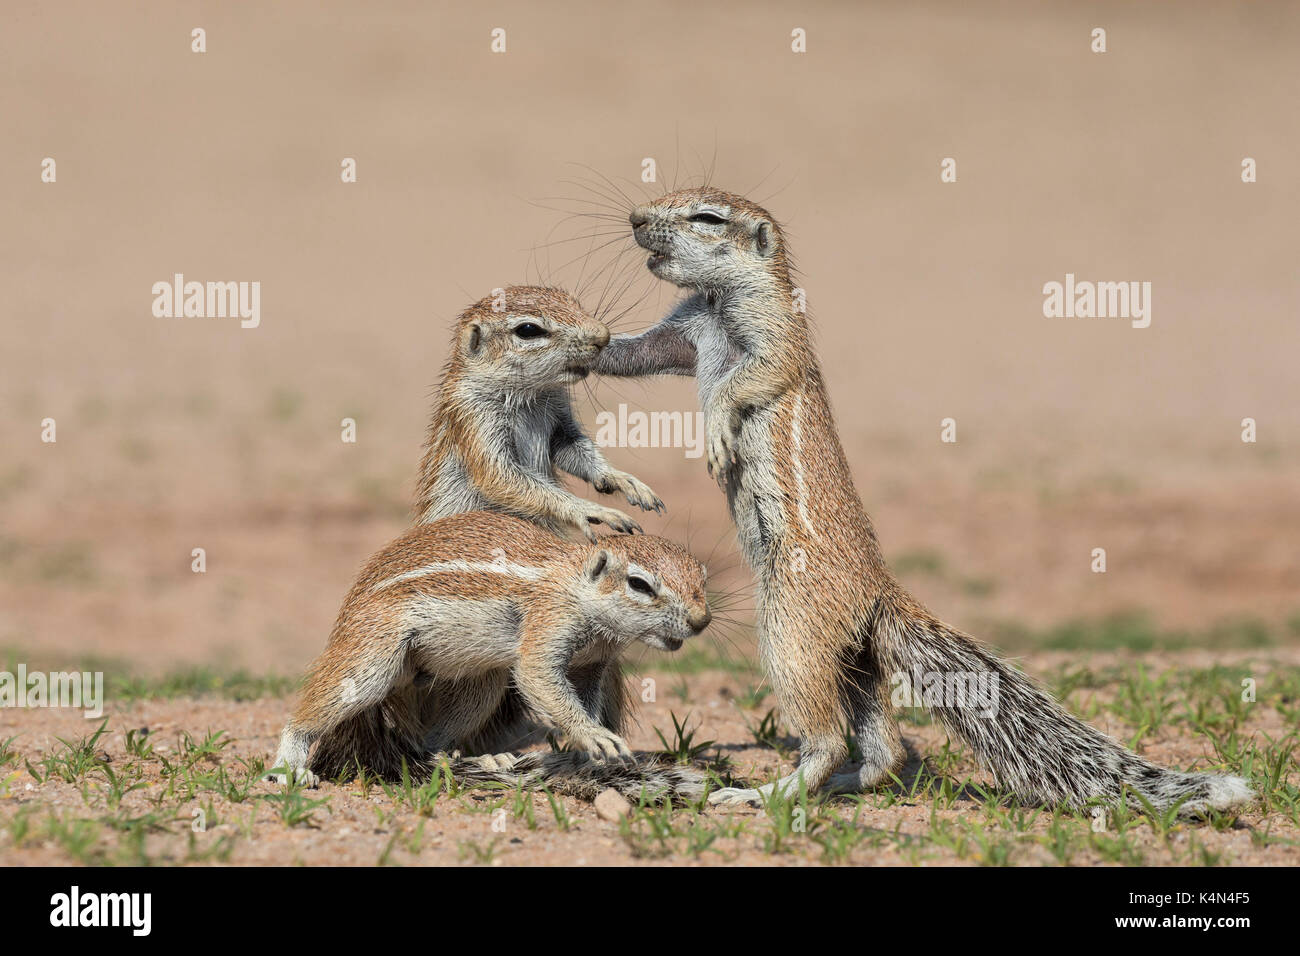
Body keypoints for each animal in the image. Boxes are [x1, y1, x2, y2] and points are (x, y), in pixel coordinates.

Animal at [266, 512, 712, 796]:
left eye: (702, 578)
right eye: (639, 584)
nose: (701, 620)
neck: (575, 582)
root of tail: (344, 618)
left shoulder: (592, 663)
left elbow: (584, 699)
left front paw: (588, 748)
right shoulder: (548, 622)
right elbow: (538, 675)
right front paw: (597, 738)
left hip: (482, 681)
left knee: (430, 741)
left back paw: (479, 760)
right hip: (374, 653)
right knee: (317, 708)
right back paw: (290, 767)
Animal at [413, 282, 665, 538]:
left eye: (573, 302)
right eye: (528, 330)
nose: (603, 336)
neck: (531, 397)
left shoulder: (560, 415)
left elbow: (573, 448)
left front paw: (623, 480)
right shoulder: (474, 415)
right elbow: (500, 476)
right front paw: (591, 510)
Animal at [595, 187, 1253, 816]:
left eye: (707, 217)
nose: (634, 219)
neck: (715, 303)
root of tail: (880, 588)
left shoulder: (776, 336)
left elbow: (749, 379)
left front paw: (715, 434)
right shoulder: (681, 331)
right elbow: (632, 354)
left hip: (792, 625)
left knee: (827, 735)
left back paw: (763, 795)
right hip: (855, 655)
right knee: (881, 744)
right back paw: (848, 783)